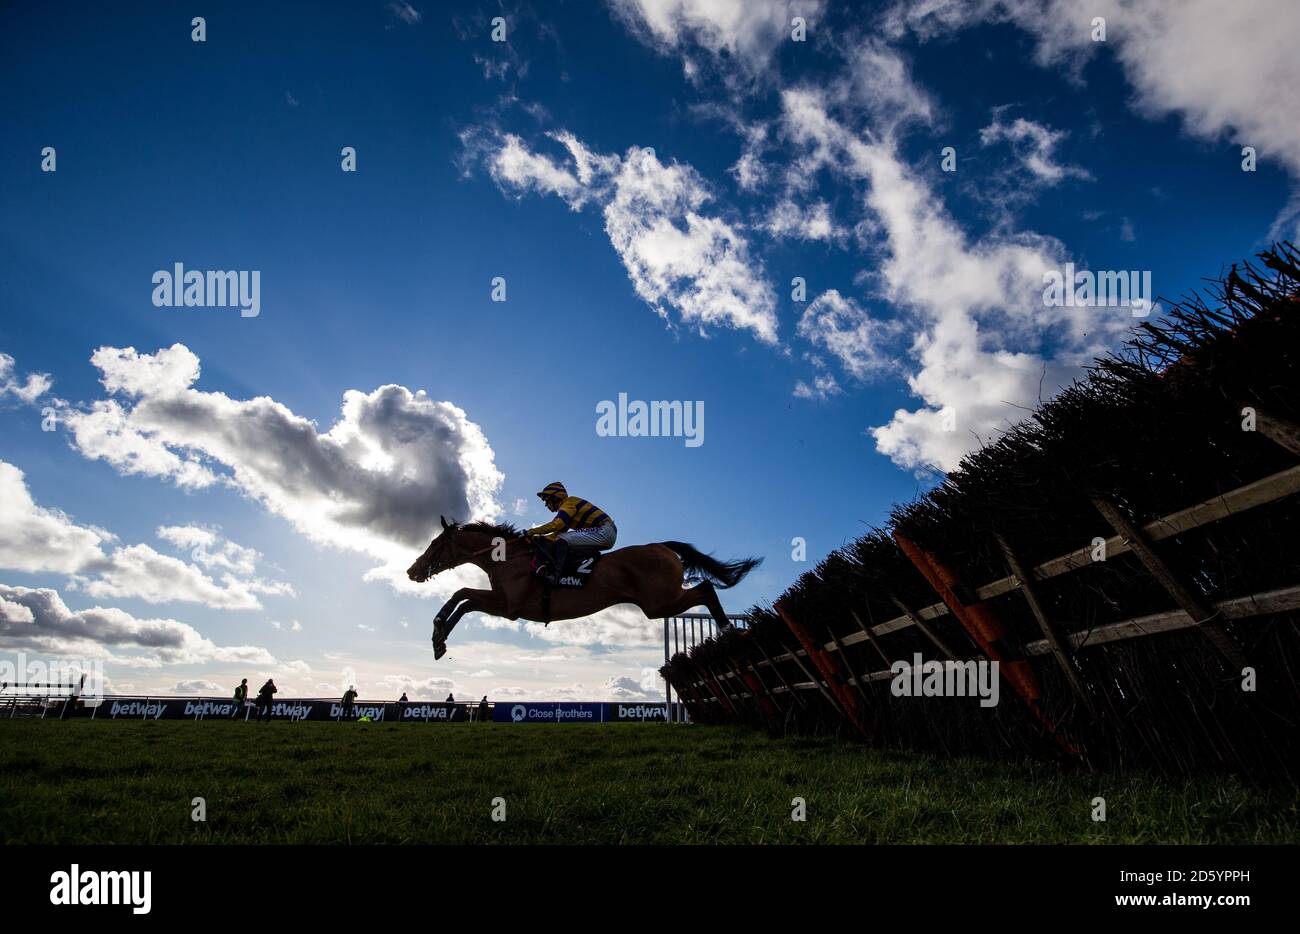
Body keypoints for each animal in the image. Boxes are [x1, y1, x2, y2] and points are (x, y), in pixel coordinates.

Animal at [403, 515, 754, 663]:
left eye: (435, 544)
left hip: (660, 603)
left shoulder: (508, 607)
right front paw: (438, 639)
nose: (411, 570)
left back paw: (729, 630)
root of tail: (663, 546)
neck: (506, 557)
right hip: (660, 603)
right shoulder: (502, 602)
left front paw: (438, 633)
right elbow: (462, 598)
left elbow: (462, 595)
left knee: (706, 588)